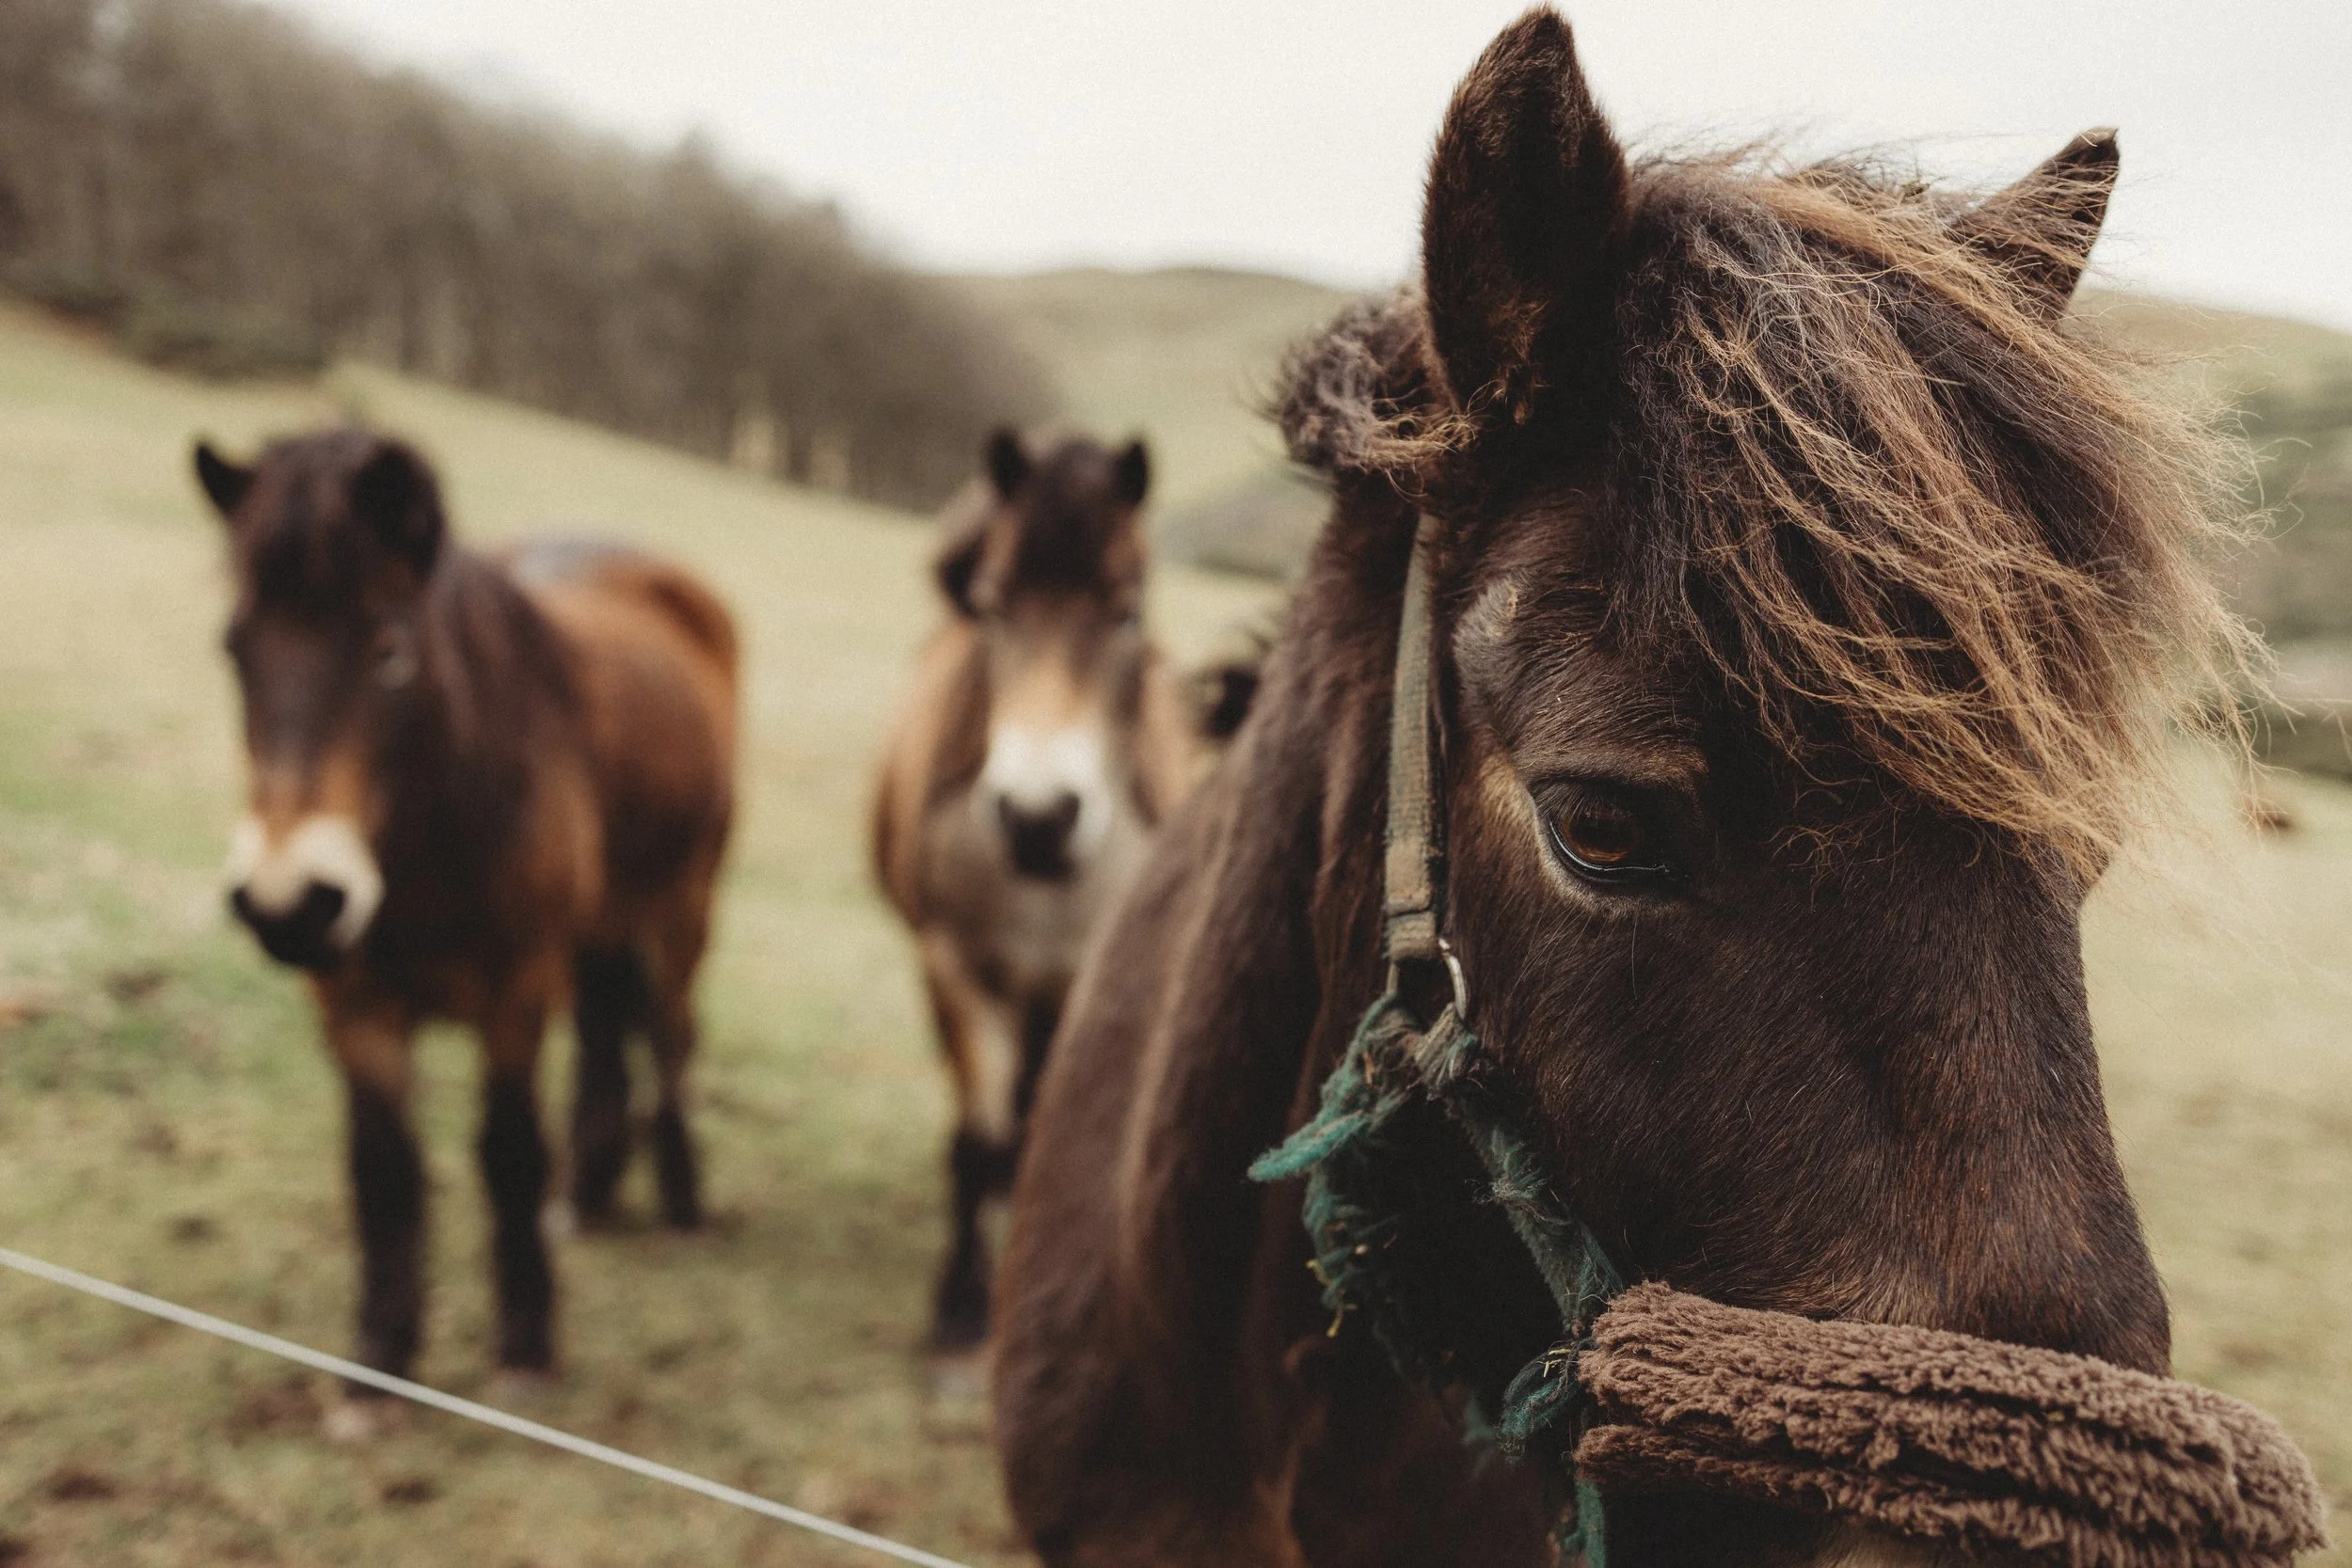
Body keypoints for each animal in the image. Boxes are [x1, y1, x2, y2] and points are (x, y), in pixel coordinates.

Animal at [195, 430, 737, 1410]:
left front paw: (524, 1346)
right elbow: (384, 1170)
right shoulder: (352, 1003)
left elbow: (507, 1151)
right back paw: (587, 1195)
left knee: (671, 1037)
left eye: (389, 649)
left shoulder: (515, 991)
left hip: (684, 906)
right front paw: (377, 1364)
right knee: (608, 1028)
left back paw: (681, 1203)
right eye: (234, 649)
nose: (288, 900)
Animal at [871, 428, 1199, 1352]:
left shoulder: (1083, 987)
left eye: (1126, 611)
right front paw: (959, 1306)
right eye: (993, 604)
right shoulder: (955, 967)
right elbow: (976, 1141)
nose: (1037, 817)